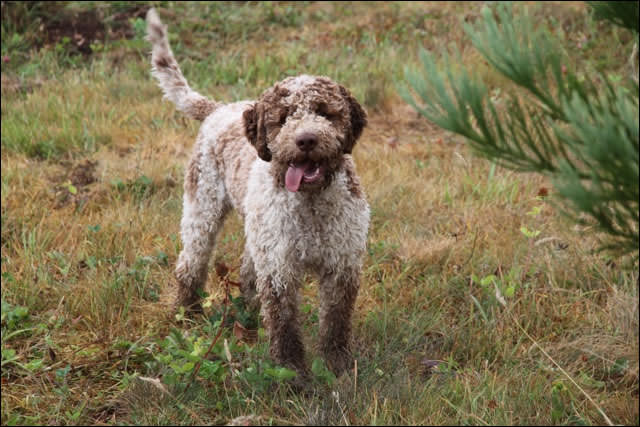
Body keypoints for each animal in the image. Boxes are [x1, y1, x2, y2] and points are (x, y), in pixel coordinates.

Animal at [146, 9, 370, 378]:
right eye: (283, 117)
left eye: (325, 112)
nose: (306, 140)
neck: (310, 203)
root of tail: (220, 109)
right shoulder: (280, 269)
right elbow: (284, 323)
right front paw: (291, 371)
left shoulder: (342, 264)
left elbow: (336, 322)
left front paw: (337, 365)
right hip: (201, 211)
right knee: (190, 264)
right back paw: (187, 314)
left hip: (257, 235)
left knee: (247, 274)